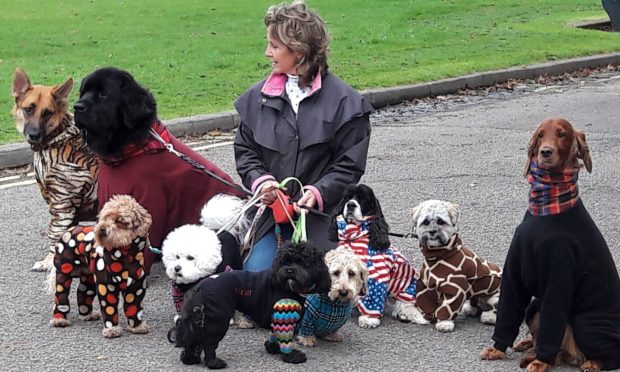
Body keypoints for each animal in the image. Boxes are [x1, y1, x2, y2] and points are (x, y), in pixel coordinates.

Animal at [172, 241, 332, 370]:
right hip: (218, 320)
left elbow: (274, 335)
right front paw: (291, 356)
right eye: (285, 262)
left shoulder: (276, 317)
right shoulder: (284, 317)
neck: (287, 287)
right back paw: (214, 363)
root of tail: (200, 287)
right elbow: (285, 340)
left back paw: (190, 359)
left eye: (303, 263)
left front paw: (273, 348)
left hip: (199, 320)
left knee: (192, 340)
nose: (290, 270)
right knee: (208, 343)